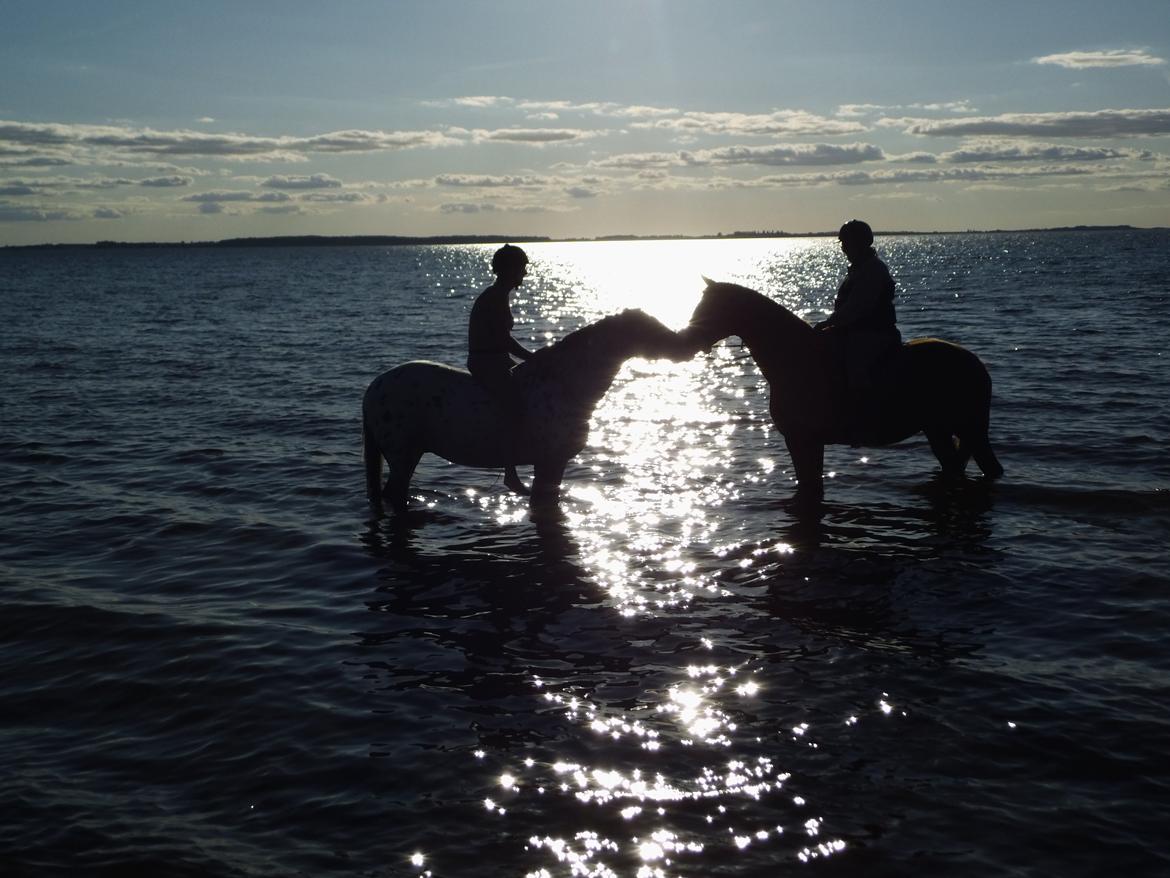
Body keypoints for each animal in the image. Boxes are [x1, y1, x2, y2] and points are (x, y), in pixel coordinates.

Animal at [362, 313, 692, 512]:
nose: (684, 347)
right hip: (403, 455)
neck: (566, 385)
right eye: (649, 330)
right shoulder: (550, 463)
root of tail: (375, 387)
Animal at [683, 278, 1001, 505]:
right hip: (939, 430)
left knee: (990, 469)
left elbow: (810, 489)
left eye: (713, 309)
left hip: (970, 429)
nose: (686, 342)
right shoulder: (802, 441)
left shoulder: (803, 440)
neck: (793, 357)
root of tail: (974, 362)